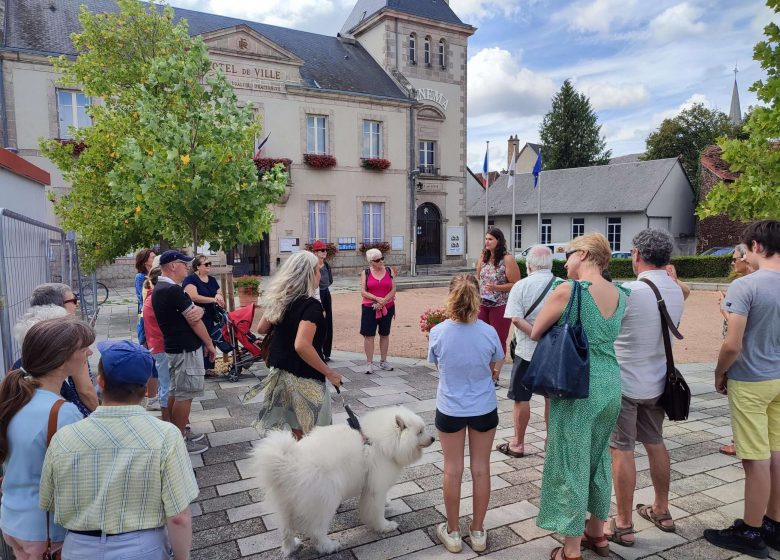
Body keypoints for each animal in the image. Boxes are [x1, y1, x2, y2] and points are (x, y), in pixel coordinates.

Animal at [254, 406, 438, 556]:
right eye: (420, 432)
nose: (433, 438)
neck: (380, 442)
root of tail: (288, 464)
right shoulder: (375, 486)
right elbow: (376, 510)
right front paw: (384, 526)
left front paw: (386, 505)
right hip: (325, 500)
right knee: (316, 530)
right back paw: (329, 546)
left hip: (285, 506)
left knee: (287, 531)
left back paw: (291, 547)